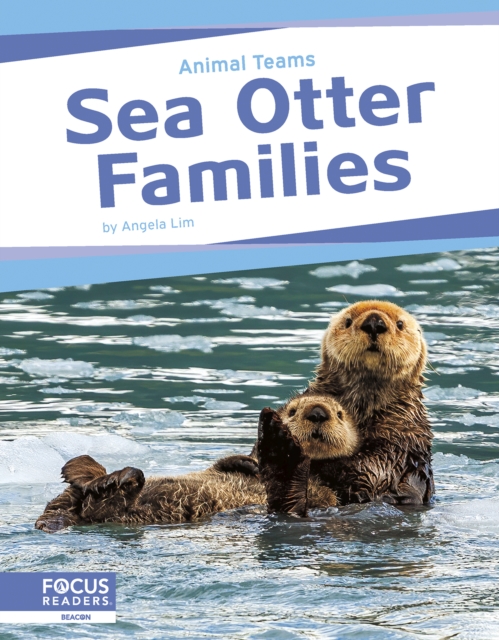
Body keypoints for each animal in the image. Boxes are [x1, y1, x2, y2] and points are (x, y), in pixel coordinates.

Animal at [35, 396, 358, 532]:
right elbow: (228, 464)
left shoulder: (328, 497)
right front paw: (248, 463)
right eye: (292, 409)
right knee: (69, 497)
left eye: (339, 413)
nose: (316, 412)